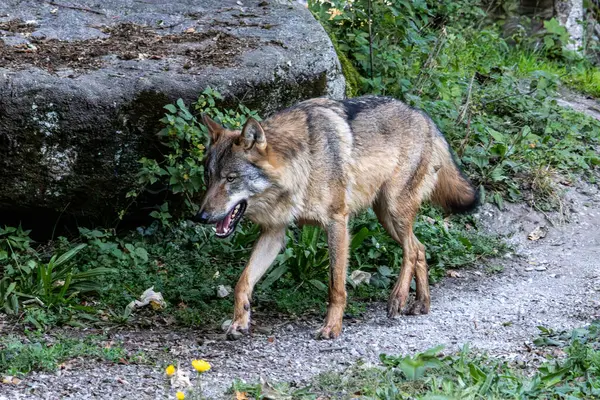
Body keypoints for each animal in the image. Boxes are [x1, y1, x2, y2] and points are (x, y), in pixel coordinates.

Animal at [195, 95, 480, 340]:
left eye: (231, 179)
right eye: (209, 177)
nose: (201, 217)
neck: (303, 164)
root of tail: (425, 117)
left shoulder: (337, 223)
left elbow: (336, 287)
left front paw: (332, 327)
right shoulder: (274, 233)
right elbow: (242, 282)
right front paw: (239, 322)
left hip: (394, 210)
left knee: (411, 251)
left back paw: (398, 299)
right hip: (386, 217)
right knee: (420, 248)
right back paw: (421, 303)